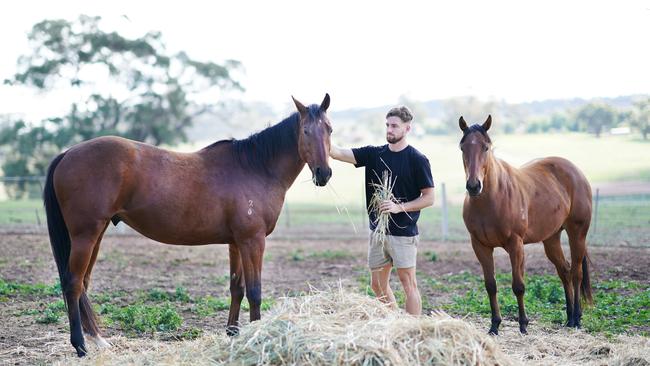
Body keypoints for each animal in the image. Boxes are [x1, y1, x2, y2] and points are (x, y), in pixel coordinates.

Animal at [44, 93, 334, 356]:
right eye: (305, 131)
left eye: (329, 129)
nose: (324, 173)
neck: (255, 167)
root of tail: (67, 153)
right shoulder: (253, 241)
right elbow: (254, 291)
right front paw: (257, 335)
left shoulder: (236, 242)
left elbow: (237, 288)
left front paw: (233, 334)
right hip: (85, 234)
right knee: (73, 283)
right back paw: (80, 346)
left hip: (97, 232)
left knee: (83, 283)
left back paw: (98, 341)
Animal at [456, 116, 592, 336]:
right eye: (462, 147)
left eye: (486, 147)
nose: (474, 186)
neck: (492, 198)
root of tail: (576, 171)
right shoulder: (480, 246)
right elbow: (490, 285)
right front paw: (494, 325)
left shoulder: (515, 245)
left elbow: (518, 285)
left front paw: (523, 324)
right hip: (551, 239)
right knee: (564, 271)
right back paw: (570, 318)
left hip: (577, 233)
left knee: (576, 273)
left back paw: (578, 319)